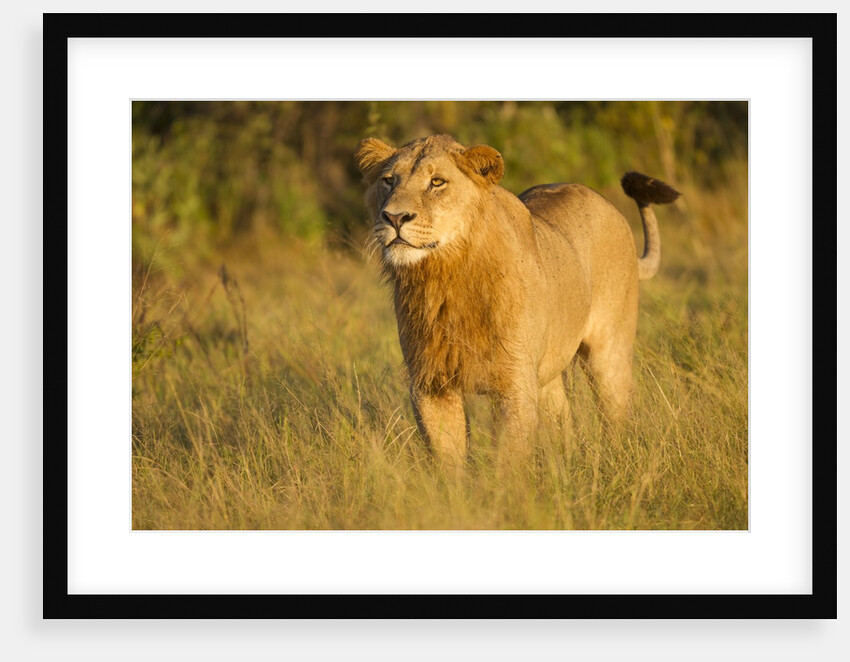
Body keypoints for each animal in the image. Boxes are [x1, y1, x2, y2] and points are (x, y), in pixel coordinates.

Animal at [355, 134, 680, 468]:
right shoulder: (430, 384)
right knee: (562, 420)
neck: (446, 277)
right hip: (548, 373)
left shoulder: (515, 383)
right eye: (388, 181)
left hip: (609, 354)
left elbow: (507, 462)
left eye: (437, 182)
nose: (394, 217)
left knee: (615, 416)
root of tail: (606, 204)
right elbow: (448, 462)